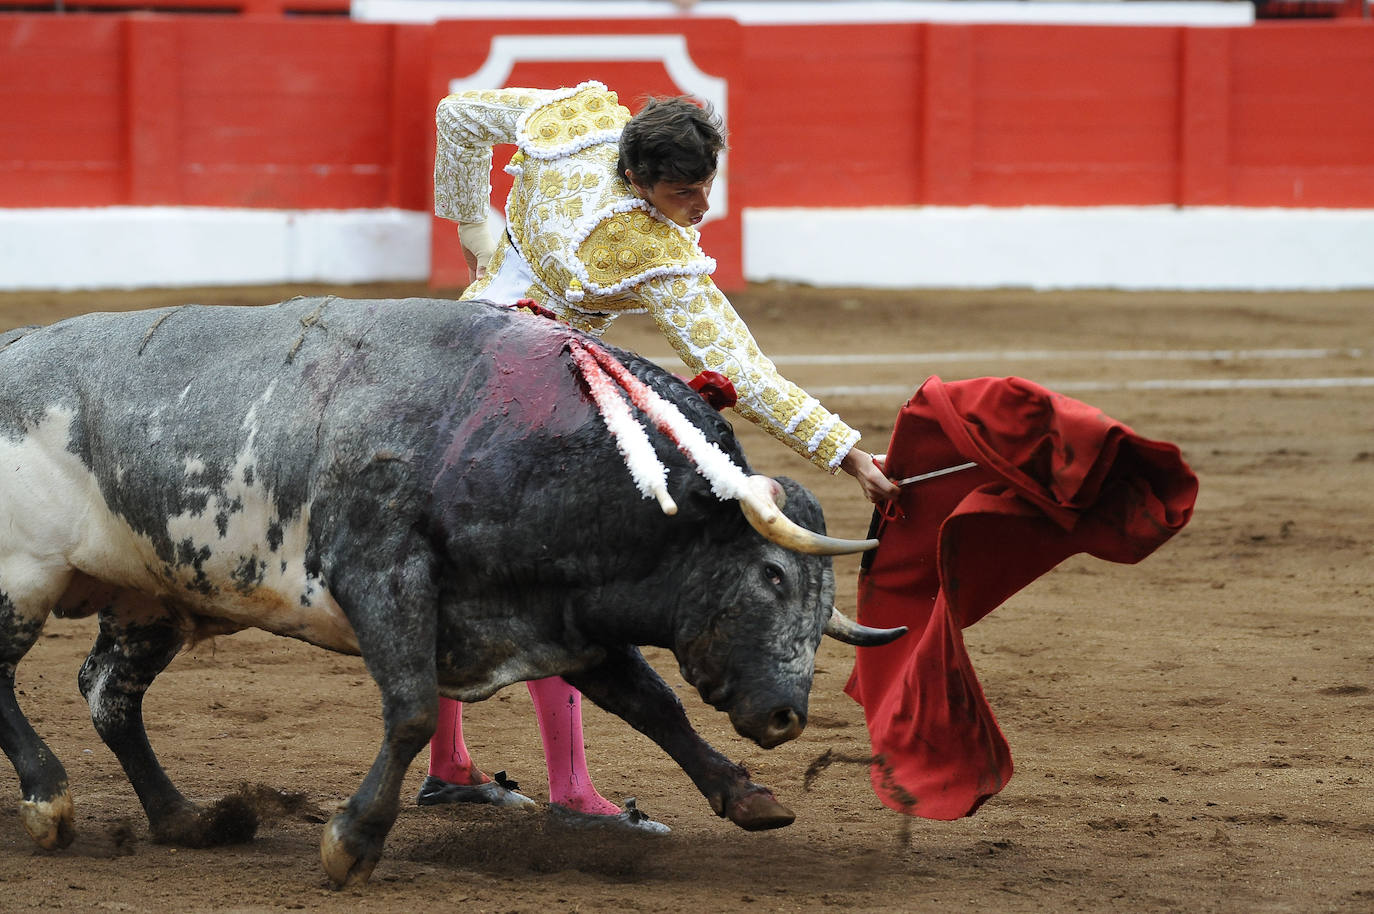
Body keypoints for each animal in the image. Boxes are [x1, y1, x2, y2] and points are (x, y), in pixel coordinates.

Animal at [0, 298, 901, 885]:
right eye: (772, 574)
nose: (785, 716)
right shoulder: (381, 575)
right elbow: (411, 711)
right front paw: (353, 841)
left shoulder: (559, 616)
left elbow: (653, 704)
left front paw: (747, 796)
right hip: (23, 579)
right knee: (11, 681)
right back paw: (49, 802)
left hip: (146, 597)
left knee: (110, 695)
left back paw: (186, 819)